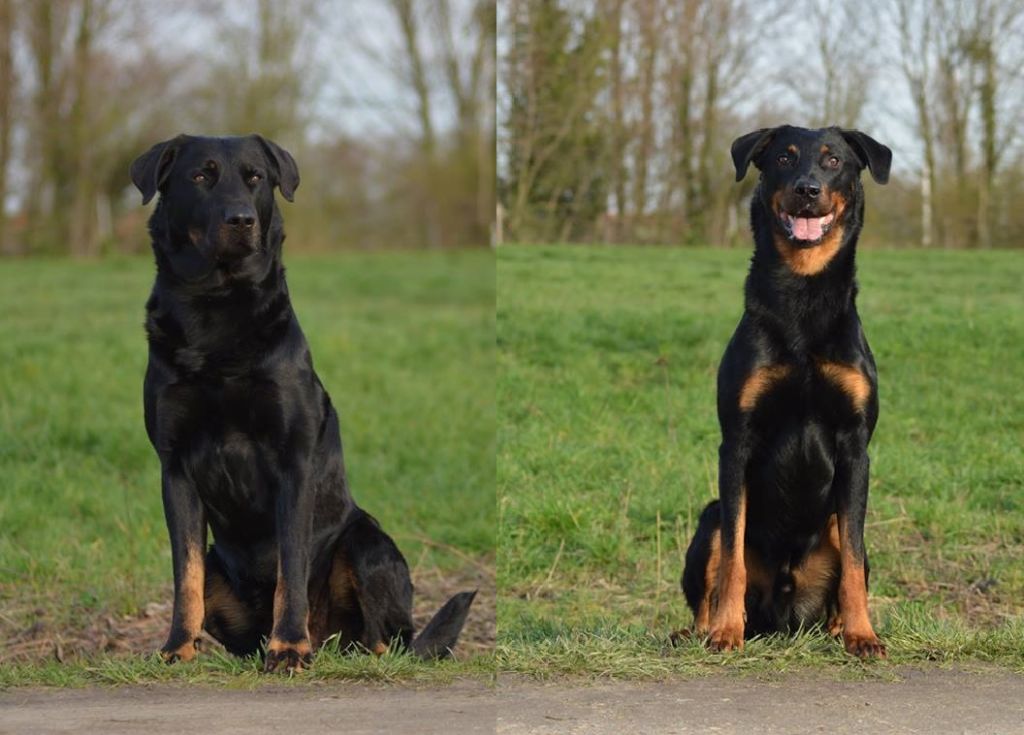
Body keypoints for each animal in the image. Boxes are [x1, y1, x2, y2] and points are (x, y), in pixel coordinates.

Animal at [129, 134, 475, 675]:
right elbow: (184, 574)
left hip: (366, 542)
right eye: (201, 176)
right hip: (223, 566)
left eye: (255, 177)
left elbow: (290, 568)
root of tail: (333, 639)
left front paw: (289, 647)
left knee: (385, 640)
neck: (216, 308)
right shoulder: (175, 467)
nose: (241, 219)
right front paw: (176, 648)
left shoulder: (293, 461)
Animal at [684, 123, 892, 659]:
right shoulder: (737, 440)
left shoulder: (855, 443)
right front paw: (726, 631)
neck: (803, 290)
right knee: (713, 571)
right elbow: (732, 559)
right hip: (709, 518)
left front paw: (863, 634)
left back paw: (841, 628)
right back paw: (699, 630)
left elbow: (854, 562)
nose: (807, 190)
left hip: (835, 525)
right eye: (783, 157)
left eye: (834, 160)